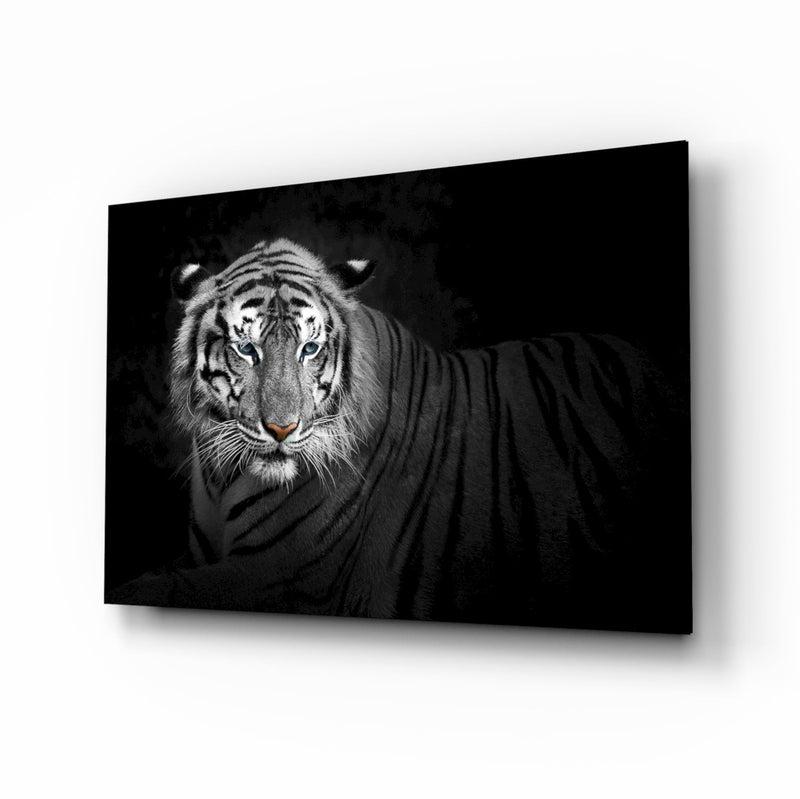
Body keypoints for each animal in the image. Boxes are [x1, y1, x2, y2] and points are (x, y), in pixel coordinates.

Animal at [107, 238, 691, 632]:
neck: (224, 475)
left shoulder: (284, 573)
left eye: (309, 348)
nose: (282, 429)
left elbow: (164, 587)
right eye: (246, 349)